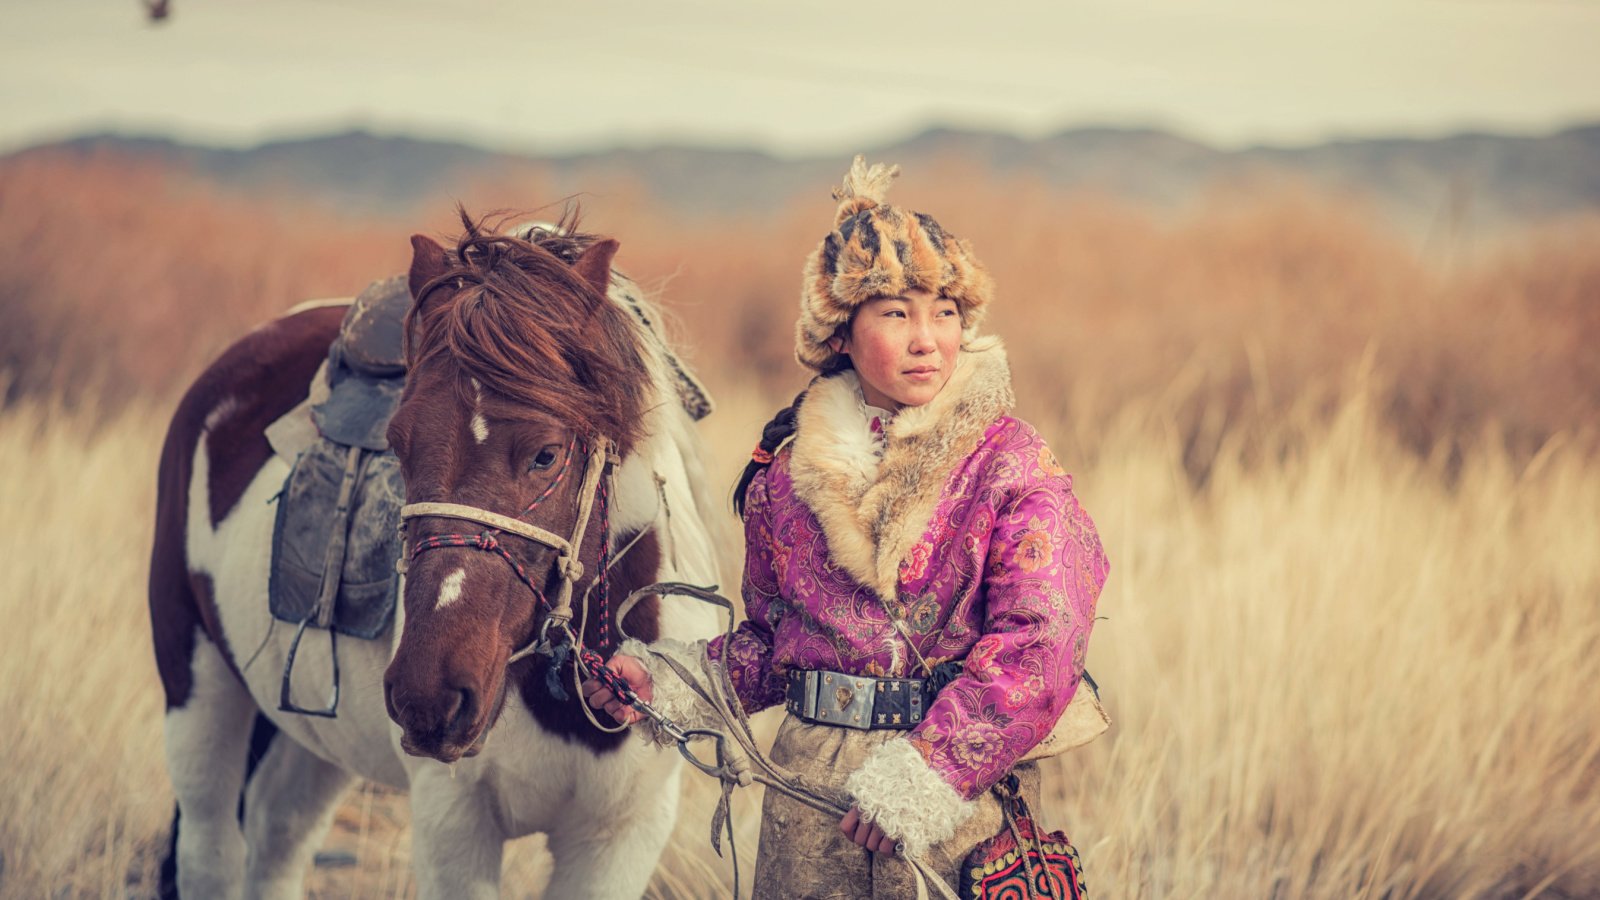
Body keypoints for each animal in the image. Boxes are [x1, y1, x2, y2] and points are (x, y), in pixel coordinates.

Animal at [150, 212, 726, 890]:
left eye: (547, 453)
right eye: (397, 444)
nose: (429, 695)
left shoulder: (620, 839)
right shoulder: (453, 826)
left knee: (278, 836)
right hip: (197, 687)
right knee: (211, 851)